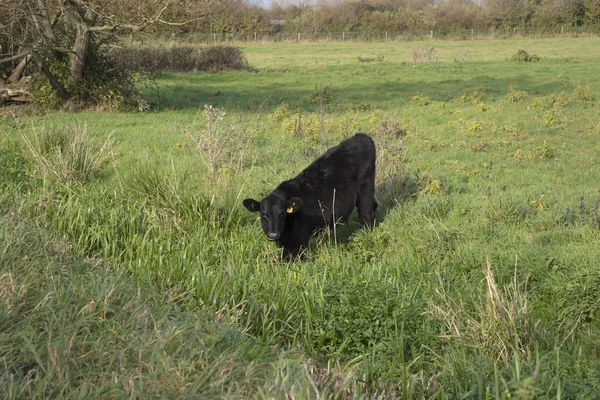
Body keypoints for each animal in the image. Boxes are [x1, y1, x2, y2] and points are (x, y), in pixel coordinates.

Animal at [243, 133, 376, 260]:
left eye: (282, 215)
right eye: (264, 215)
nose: (273, 234)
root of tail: (361, 136)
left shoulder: (298, 241)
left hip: (365, 190)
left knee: (366, 214)